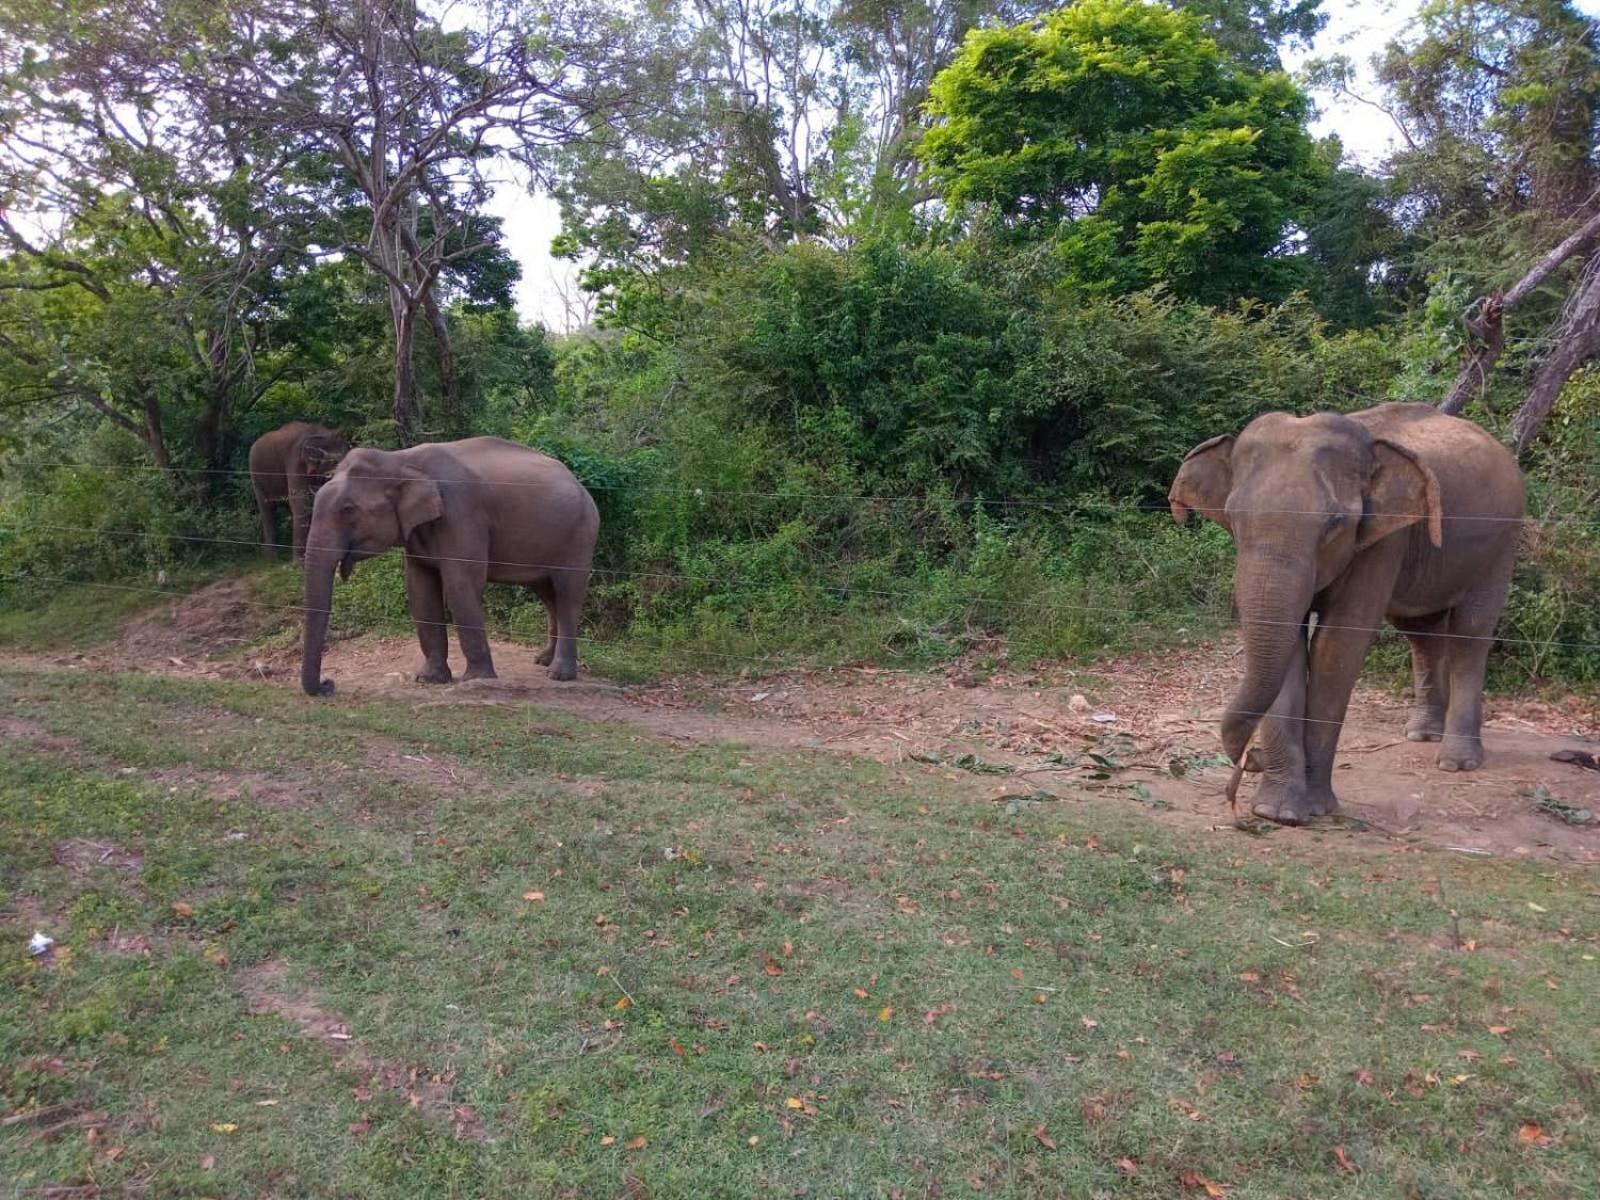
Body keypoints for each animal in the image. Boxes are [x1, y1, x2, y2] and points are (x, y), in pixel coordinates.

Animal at [300, 438, 601, 694]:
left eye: (348, 510)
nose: (329, 684)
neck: (400, 459)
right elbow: (420, 589)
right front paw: (429, 679)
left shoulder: (462, 513)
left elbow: (460, 586)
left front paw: (476, 680)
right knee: (548, 594)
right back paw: (543, 660)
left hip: (581, 535)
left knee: (567, 594)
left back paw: (559, 675)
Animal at [1177, 406, 1523, 825]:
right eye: (1232, 516)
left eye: (1334, 524)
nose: (1249, 759)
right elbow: (1290, 644)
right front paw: (1277, 812)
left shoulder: (1383, 540)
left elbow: (1338, 645)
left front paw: (1314, 810)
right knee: (1422, 632)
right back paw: (1422, 735)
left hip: (1502, 542)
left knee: (1470, 632)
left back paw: (1457, 762)